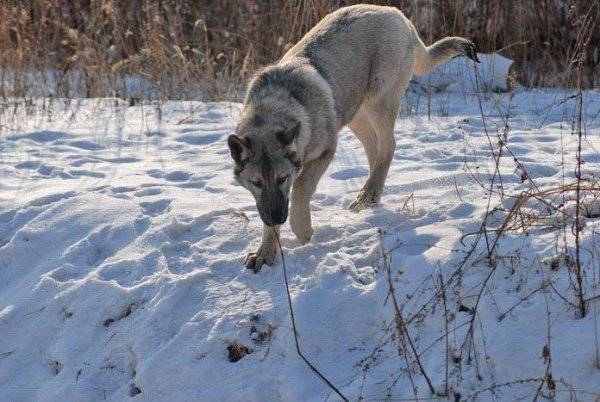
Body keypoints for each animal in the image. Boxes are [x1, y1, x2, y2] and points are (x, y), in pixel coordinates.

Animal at [227, 3, 480, 270]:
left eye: (282, 178)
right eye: (256, 182)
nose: (276, 216)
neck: (274, 109)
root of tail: (398, 14)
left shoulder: (326, 151)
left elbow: (302, 187)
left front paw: (302, 230)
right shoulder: (267, 197)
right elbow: (269, 217)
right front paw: (265, 252)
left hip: (379, 103)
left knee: (388, 146)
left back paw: (368, 193)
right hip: (356, 115)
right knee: (375, 150)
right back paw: (370, 195)